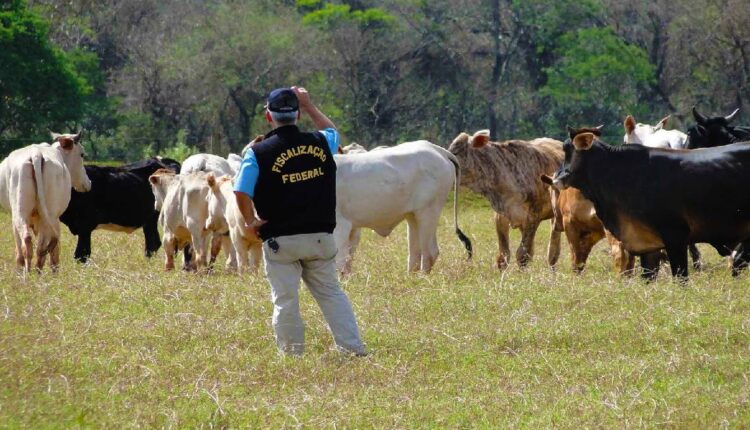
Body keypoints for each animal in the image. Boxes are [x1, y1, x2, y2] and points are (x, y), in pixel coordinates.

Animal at [0, 131, 91, 272]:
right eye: (82, 154)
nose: (88, 183)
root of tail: (36, 154)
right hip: (46, 216)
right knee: (39, 247)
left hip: (22, 214)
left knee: (30, 244)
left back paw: (29, 273)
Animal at [334, 141, 470, 276]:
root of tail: (438, 150)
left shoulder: (341, 226)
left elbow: (339, 263)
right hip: (413, 216)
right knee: (415, 254)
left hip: (428, 211)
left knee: (430, 252)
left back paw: (422, 278)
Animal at [446, 129, 564, 268]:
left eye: (455, 153)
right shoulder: (500, 216)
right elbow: (503, 255)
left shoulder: (533, 217)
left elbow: (522, 255)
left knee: (553, 249)